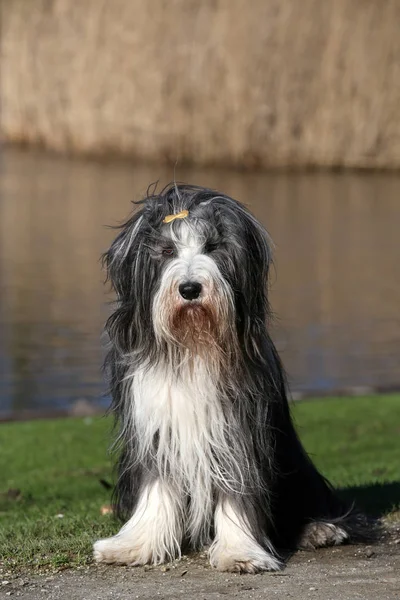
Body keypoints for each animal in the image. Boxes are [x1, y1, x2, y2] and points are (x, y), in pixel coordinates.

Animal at [93, 184, 366, 572]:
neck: (194, 346)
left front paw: (239, 551)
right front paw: (134, 546)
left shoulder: (238, 426)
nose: (190, 288)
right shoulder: (154, 424)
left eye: (213, 246)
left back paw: (320, 529)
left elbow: (238, 487)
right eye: (166, 250)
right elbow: (155, 485)